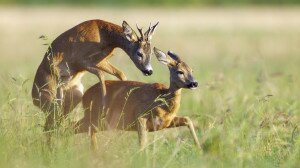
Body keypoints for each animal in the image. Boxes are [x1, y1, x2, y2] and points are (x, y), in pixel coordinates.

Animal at [31, 19, 159, 144]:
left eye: (151, 53)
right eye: (139, 53)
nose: (149, 71)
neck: (103, 35)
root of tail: (33, 97)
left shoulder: (101, 61)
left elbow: (121, 74)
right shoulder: (83, 61)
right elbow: (102, 75)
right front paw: (104, 109)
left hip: (72, 99)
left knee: (53, 125)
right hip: (51, 101)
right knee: (49, 126)